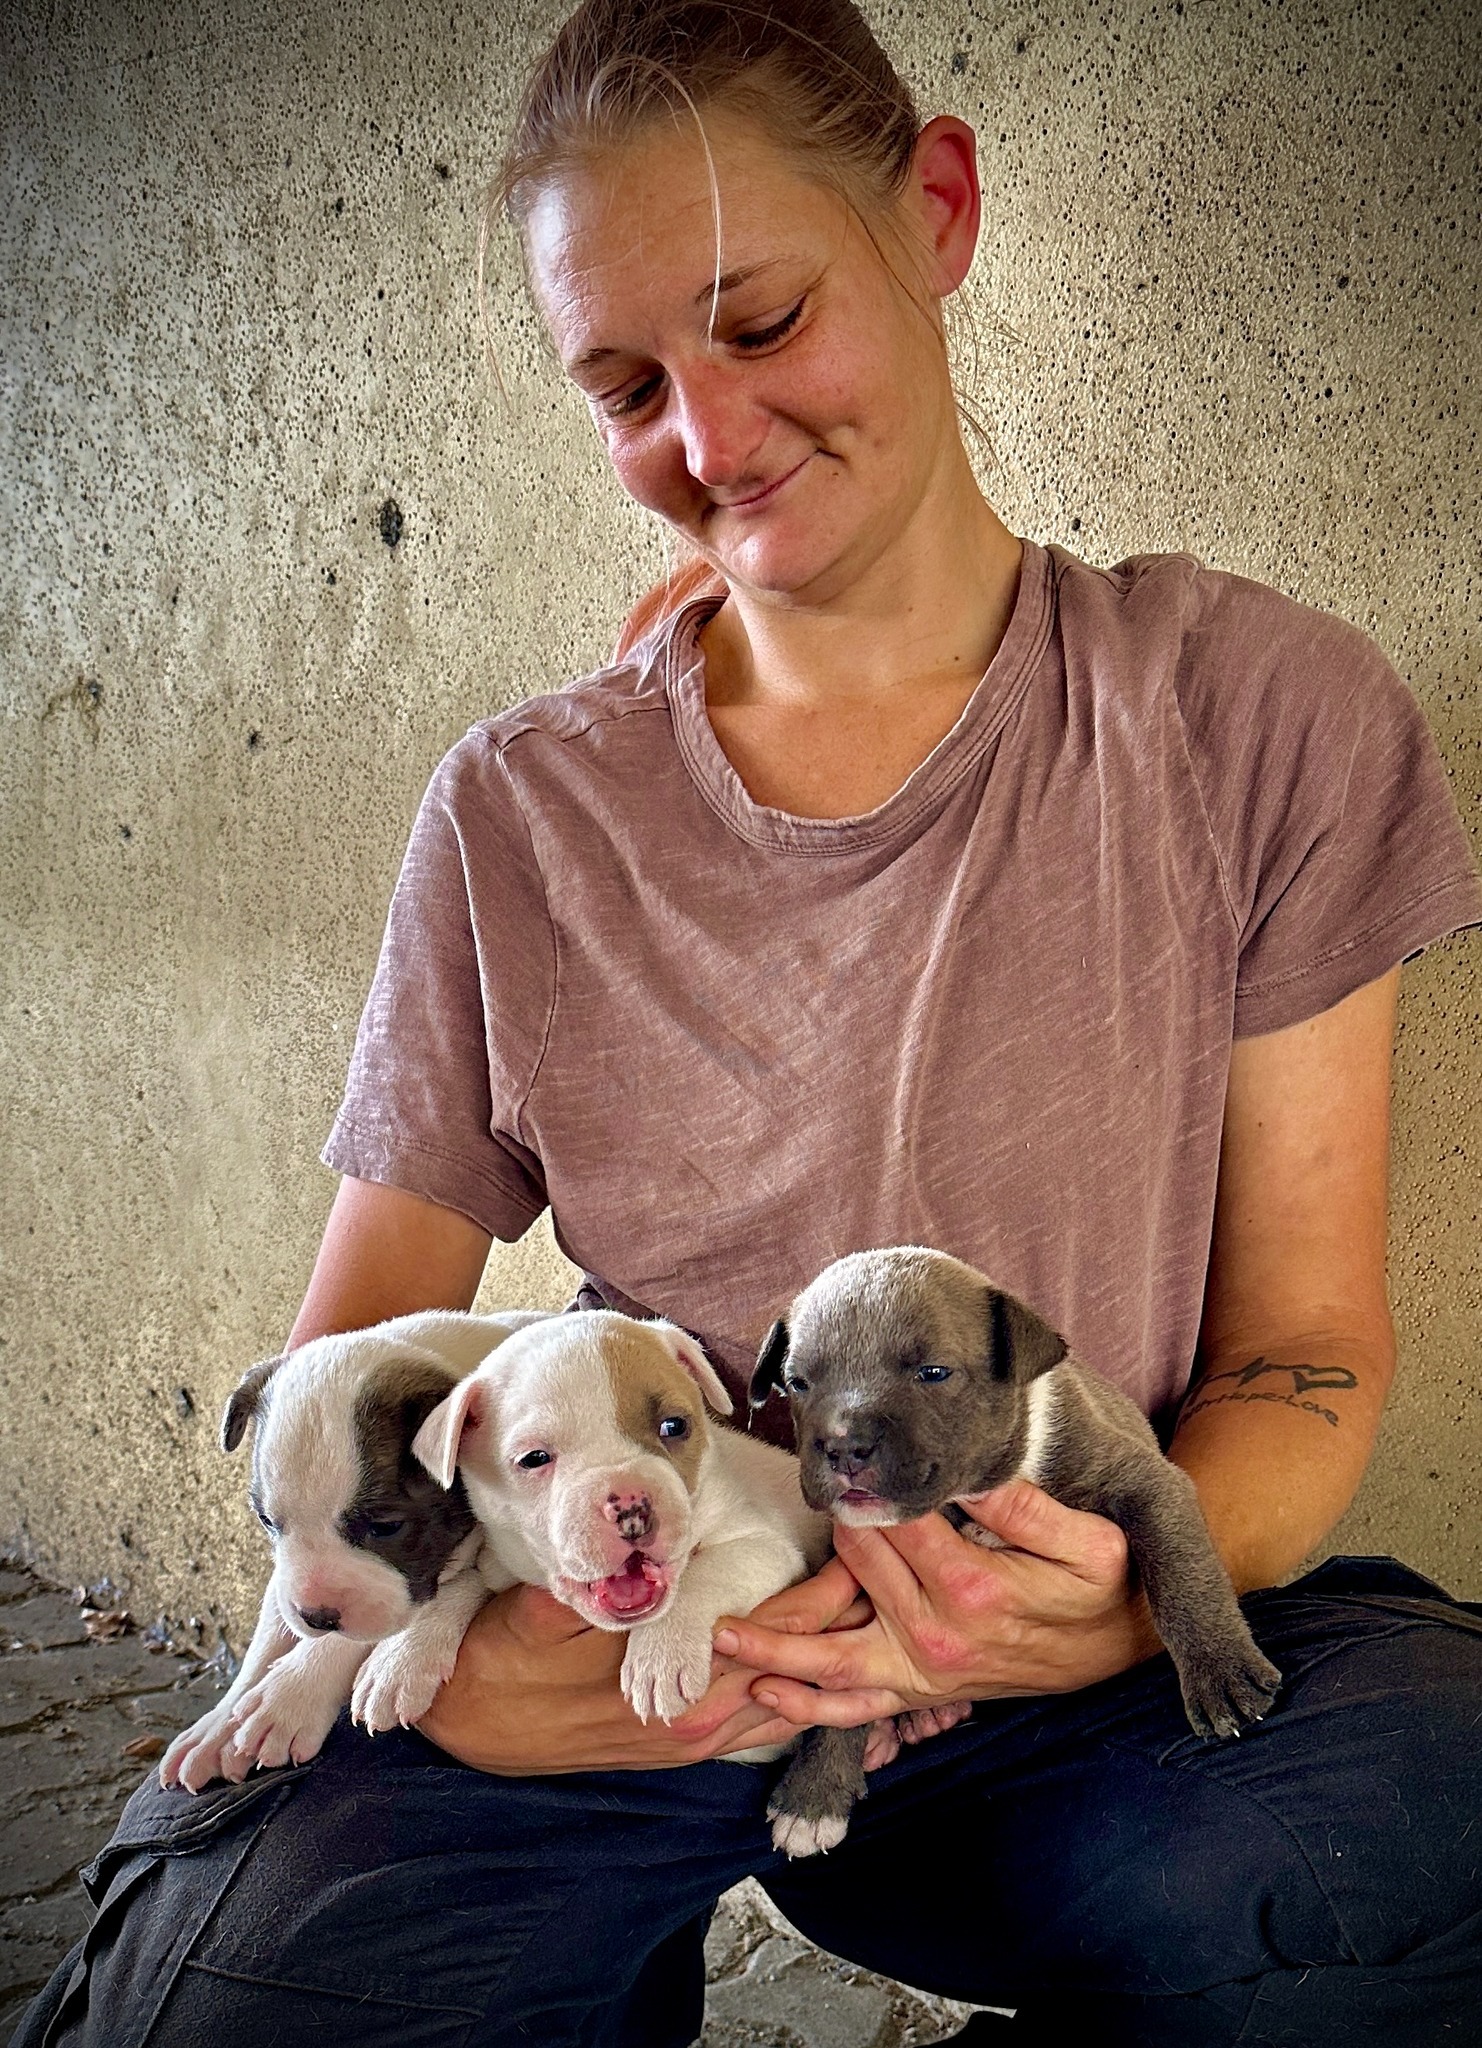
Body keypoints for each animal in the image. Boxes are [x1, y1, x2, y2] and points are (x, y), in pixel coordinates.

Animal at [159, 1310, 548, 1794]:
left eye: (385, 1527)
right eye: (267, 1522)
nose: (317, 1617)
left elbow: (445, 1590)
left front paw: (303, 1690)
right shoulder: (286, 1579)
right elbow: (267, 1637)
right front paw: (215, 1726)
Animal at [413, 1310, 835, 1744]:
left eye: (673, 1426)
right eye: (534, 1458)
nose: (631, 1502)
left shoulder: (765, 1546)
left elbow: (707, 1572)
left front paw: (663, 1653)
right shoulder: (500, 1564)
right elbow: (469, 1579)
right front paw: (408, 1654)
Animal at [745, 1245, 1277, 1859]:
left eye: (934, 1373)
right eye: (798, 1383)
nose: (841, 1446)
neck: (966, 1499)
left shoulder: (1146, 1482)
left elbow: (1182, 1575)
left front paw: (1222, 1672)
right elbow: (841, 1689)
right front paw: (813, 1797)